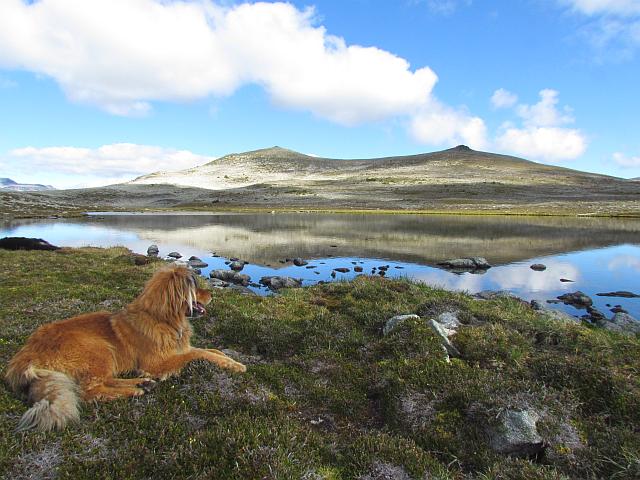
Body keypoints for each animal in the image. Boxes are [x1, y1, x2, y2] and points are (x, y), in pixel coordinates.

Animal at [6, 266, 246, 432]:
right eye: (194, 287)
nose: (213, 295)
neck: (161, 319)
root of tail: (26, 355)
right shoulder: (157, 363)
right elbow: (200, 353)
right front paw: (233, 365)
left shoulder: (179, 348)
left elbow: (212, 351)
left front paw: (231, 360)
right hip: (99, 349)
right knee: (90, 391)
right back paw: (135, 389)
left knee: (105, 381)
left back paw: (141, 384)